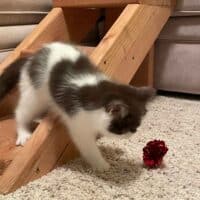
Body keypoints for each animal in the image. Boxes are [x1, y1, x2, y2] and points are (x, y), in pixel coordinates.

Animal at [0, 42, 155, 172]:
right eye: (126, 127)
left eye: (136, 126)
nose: (133, 133)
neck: (98, 93)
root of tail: (32, 57)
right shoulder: (79, 124)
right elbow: (88, 147)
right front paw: (101, 165)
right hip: (34, 93)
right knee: (22, 111)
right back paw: (23, 133)